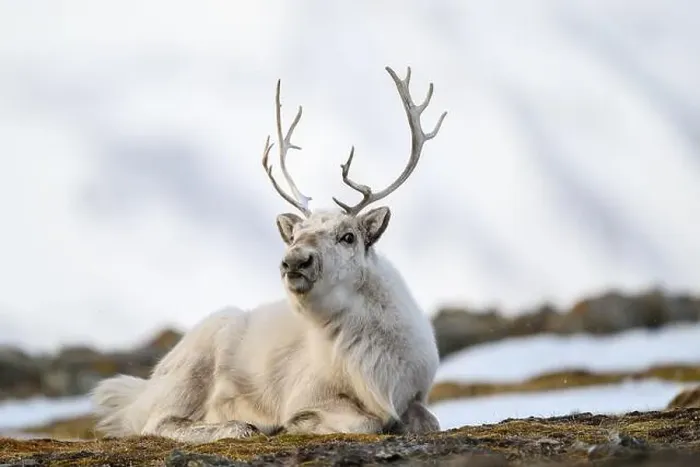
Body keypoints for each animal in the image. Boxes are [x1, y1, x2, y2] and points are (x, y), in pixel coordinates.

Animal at [91, 65, 447, 443]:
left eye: (348, 236)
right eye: (295, 235)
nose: (294, 261)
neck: (376, 366)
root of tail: (144, 390)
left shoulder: (416, 394)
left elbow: (429, 421)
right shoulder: (308, 394)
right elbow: (363, 422)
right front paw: (293, 424)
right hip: (194, 364)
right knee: (158, 424)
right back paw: (240, 426)